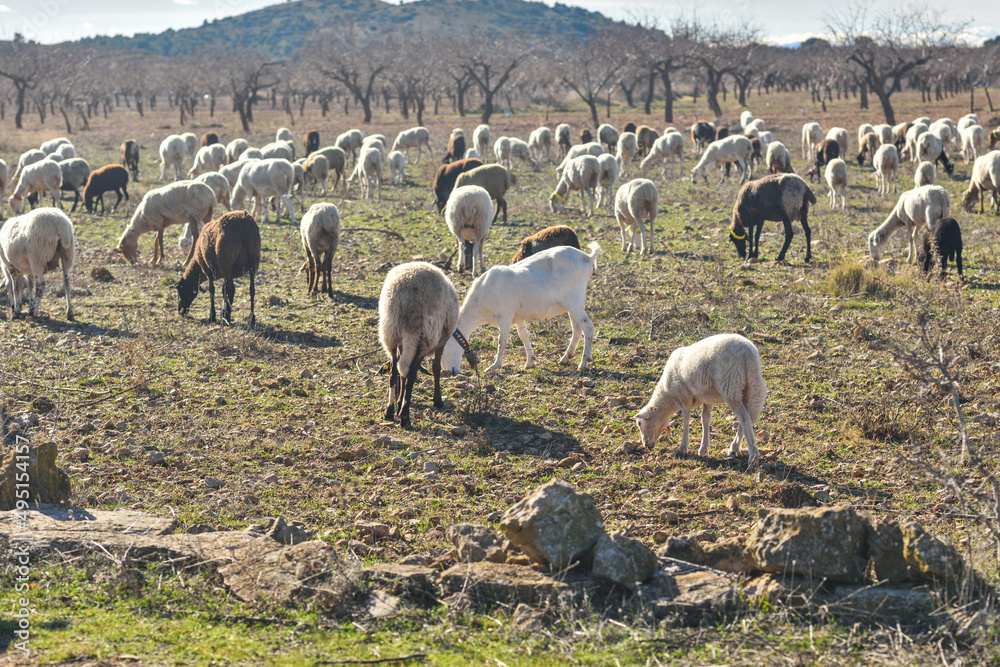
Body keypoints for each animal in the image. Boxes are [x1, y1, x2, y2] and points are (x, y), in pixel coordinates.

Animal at [378, 262, 459, 428]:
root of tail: (406, 297)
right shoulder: (441, 342)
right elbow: (436, 368)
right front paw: (438, 401)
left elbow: (400, 375)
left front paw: (399, 401)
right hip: (424, 336)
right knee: (410, 375)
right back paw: (405, 417)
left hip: (391, 332)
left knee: (394, 372)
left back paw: (389, 411)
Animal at [441, 243, 601, 375]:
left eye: (442, 351)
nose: (449, 372)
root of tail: (587, 258)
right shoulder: (517, 316)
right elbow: (523, 335)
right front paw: (530, 362)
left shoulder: (505, 315)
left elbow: (502, 340)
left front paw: (494, 366)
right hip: (571, 305)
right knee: (577, 328)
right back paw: (565, 358)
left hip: (574, 299)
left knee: (587, 327)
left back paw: (583, 363)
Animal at [634, 333, 766, 466]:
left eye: (639, 423)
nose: (646, 445)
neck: (669, 396)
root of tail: (748, 354)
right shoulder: (707, 398)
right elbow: (705, 419)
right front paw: (704, 448)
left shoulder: (684, 396)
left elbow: (686, 419)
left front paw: (683, 448)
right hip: (753, 385)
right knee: (748, 417)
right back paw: (734, 448)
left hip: (730, 384)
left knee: (744, 417)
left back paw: (753, 455)